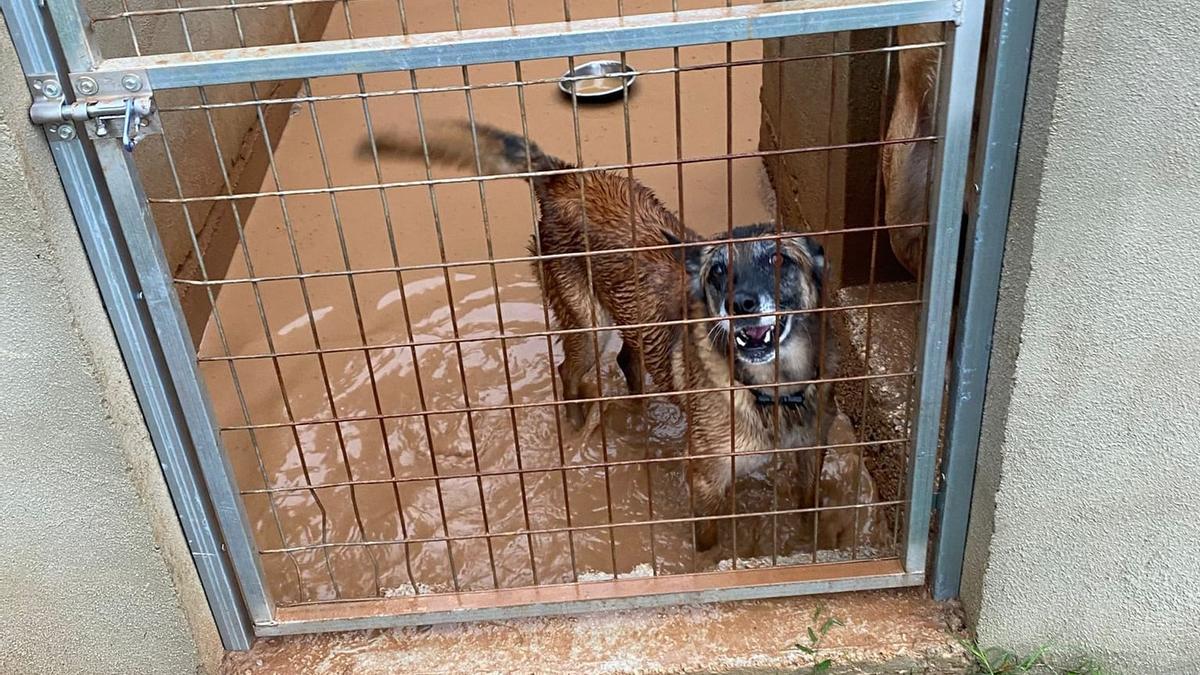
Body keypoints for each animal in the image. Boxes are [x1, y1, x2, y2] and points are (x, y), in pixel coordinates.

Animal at [364, 121, 835, 552]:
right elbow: (708, 545)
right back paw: (577, 425)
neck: (775, 391)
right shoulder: (705, 482)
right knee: (567, 371)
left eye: (780, 260)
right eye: (718, 271)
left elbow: (810, 509)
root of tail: (564, 178)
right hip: (589, 327)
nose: (740, 304)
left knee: (627, 360)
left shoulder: (811, 456)